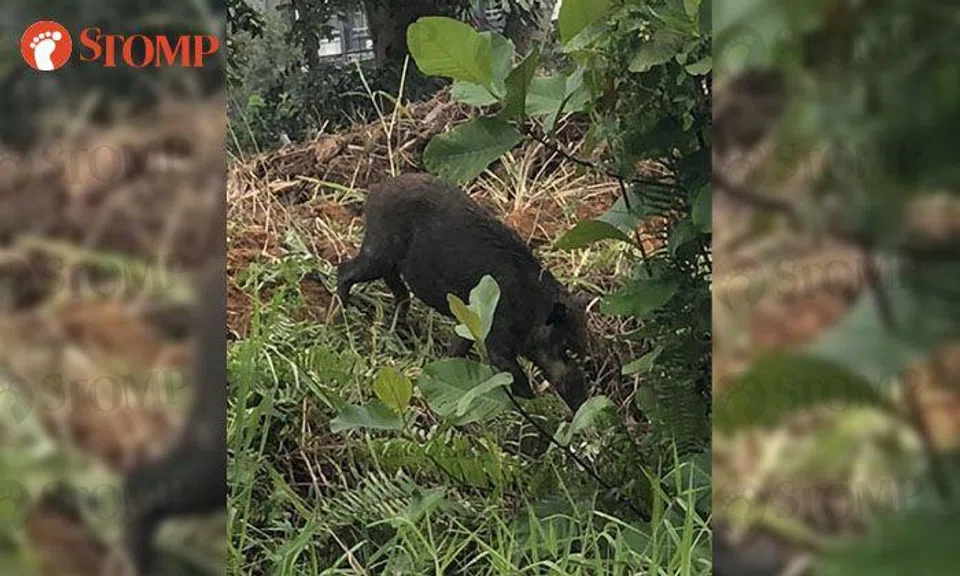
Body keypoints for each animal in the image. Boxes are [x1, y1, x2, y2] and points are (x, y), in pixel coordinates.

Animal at [337, 173, 590, 412]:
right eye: (568, 350)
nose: (584, 402)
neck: (531, 309)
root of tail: (375, 190)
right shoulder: (496, 339)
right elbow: (516, 380)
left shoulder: (469, 323)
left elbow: (456, 350)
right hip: (378, 252)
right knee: (344, 270)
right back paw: (341, 317)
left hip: (391, 263)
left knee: (401, 295)